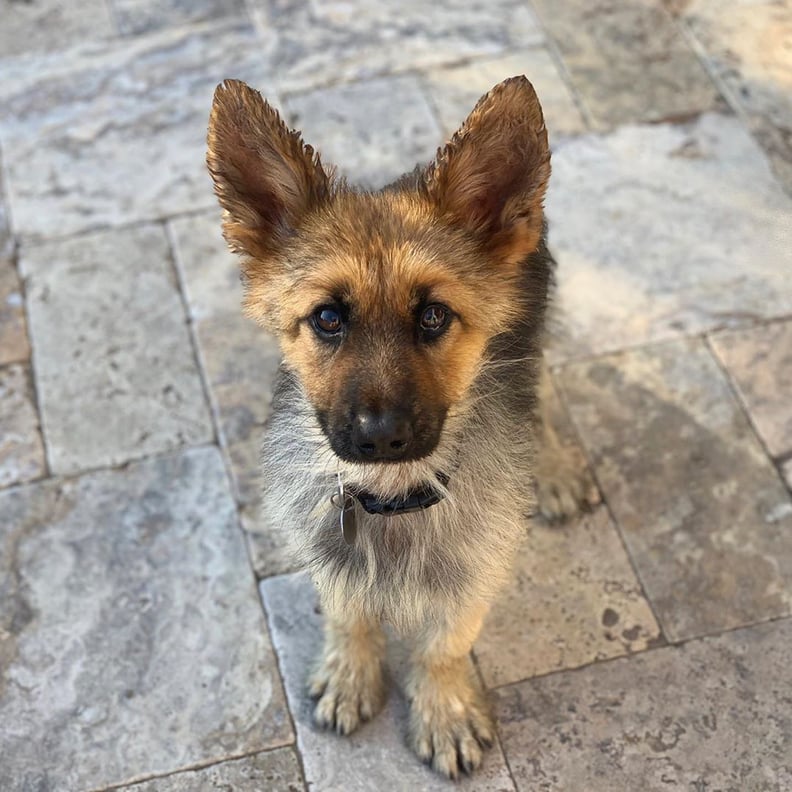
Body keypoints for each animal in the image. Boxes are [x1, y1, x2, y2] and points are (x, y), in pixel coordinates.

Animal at [204, 74, 588, 780]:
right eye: (328, 318)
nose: (381, 437)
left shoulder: (477, 570)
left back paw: (551, 471)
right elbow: (349, 614)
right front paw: (351, 674)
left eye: (433, 316)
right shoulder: (328, 552)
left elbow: (446, 643)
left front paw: (443, 709)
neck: (393, 496)